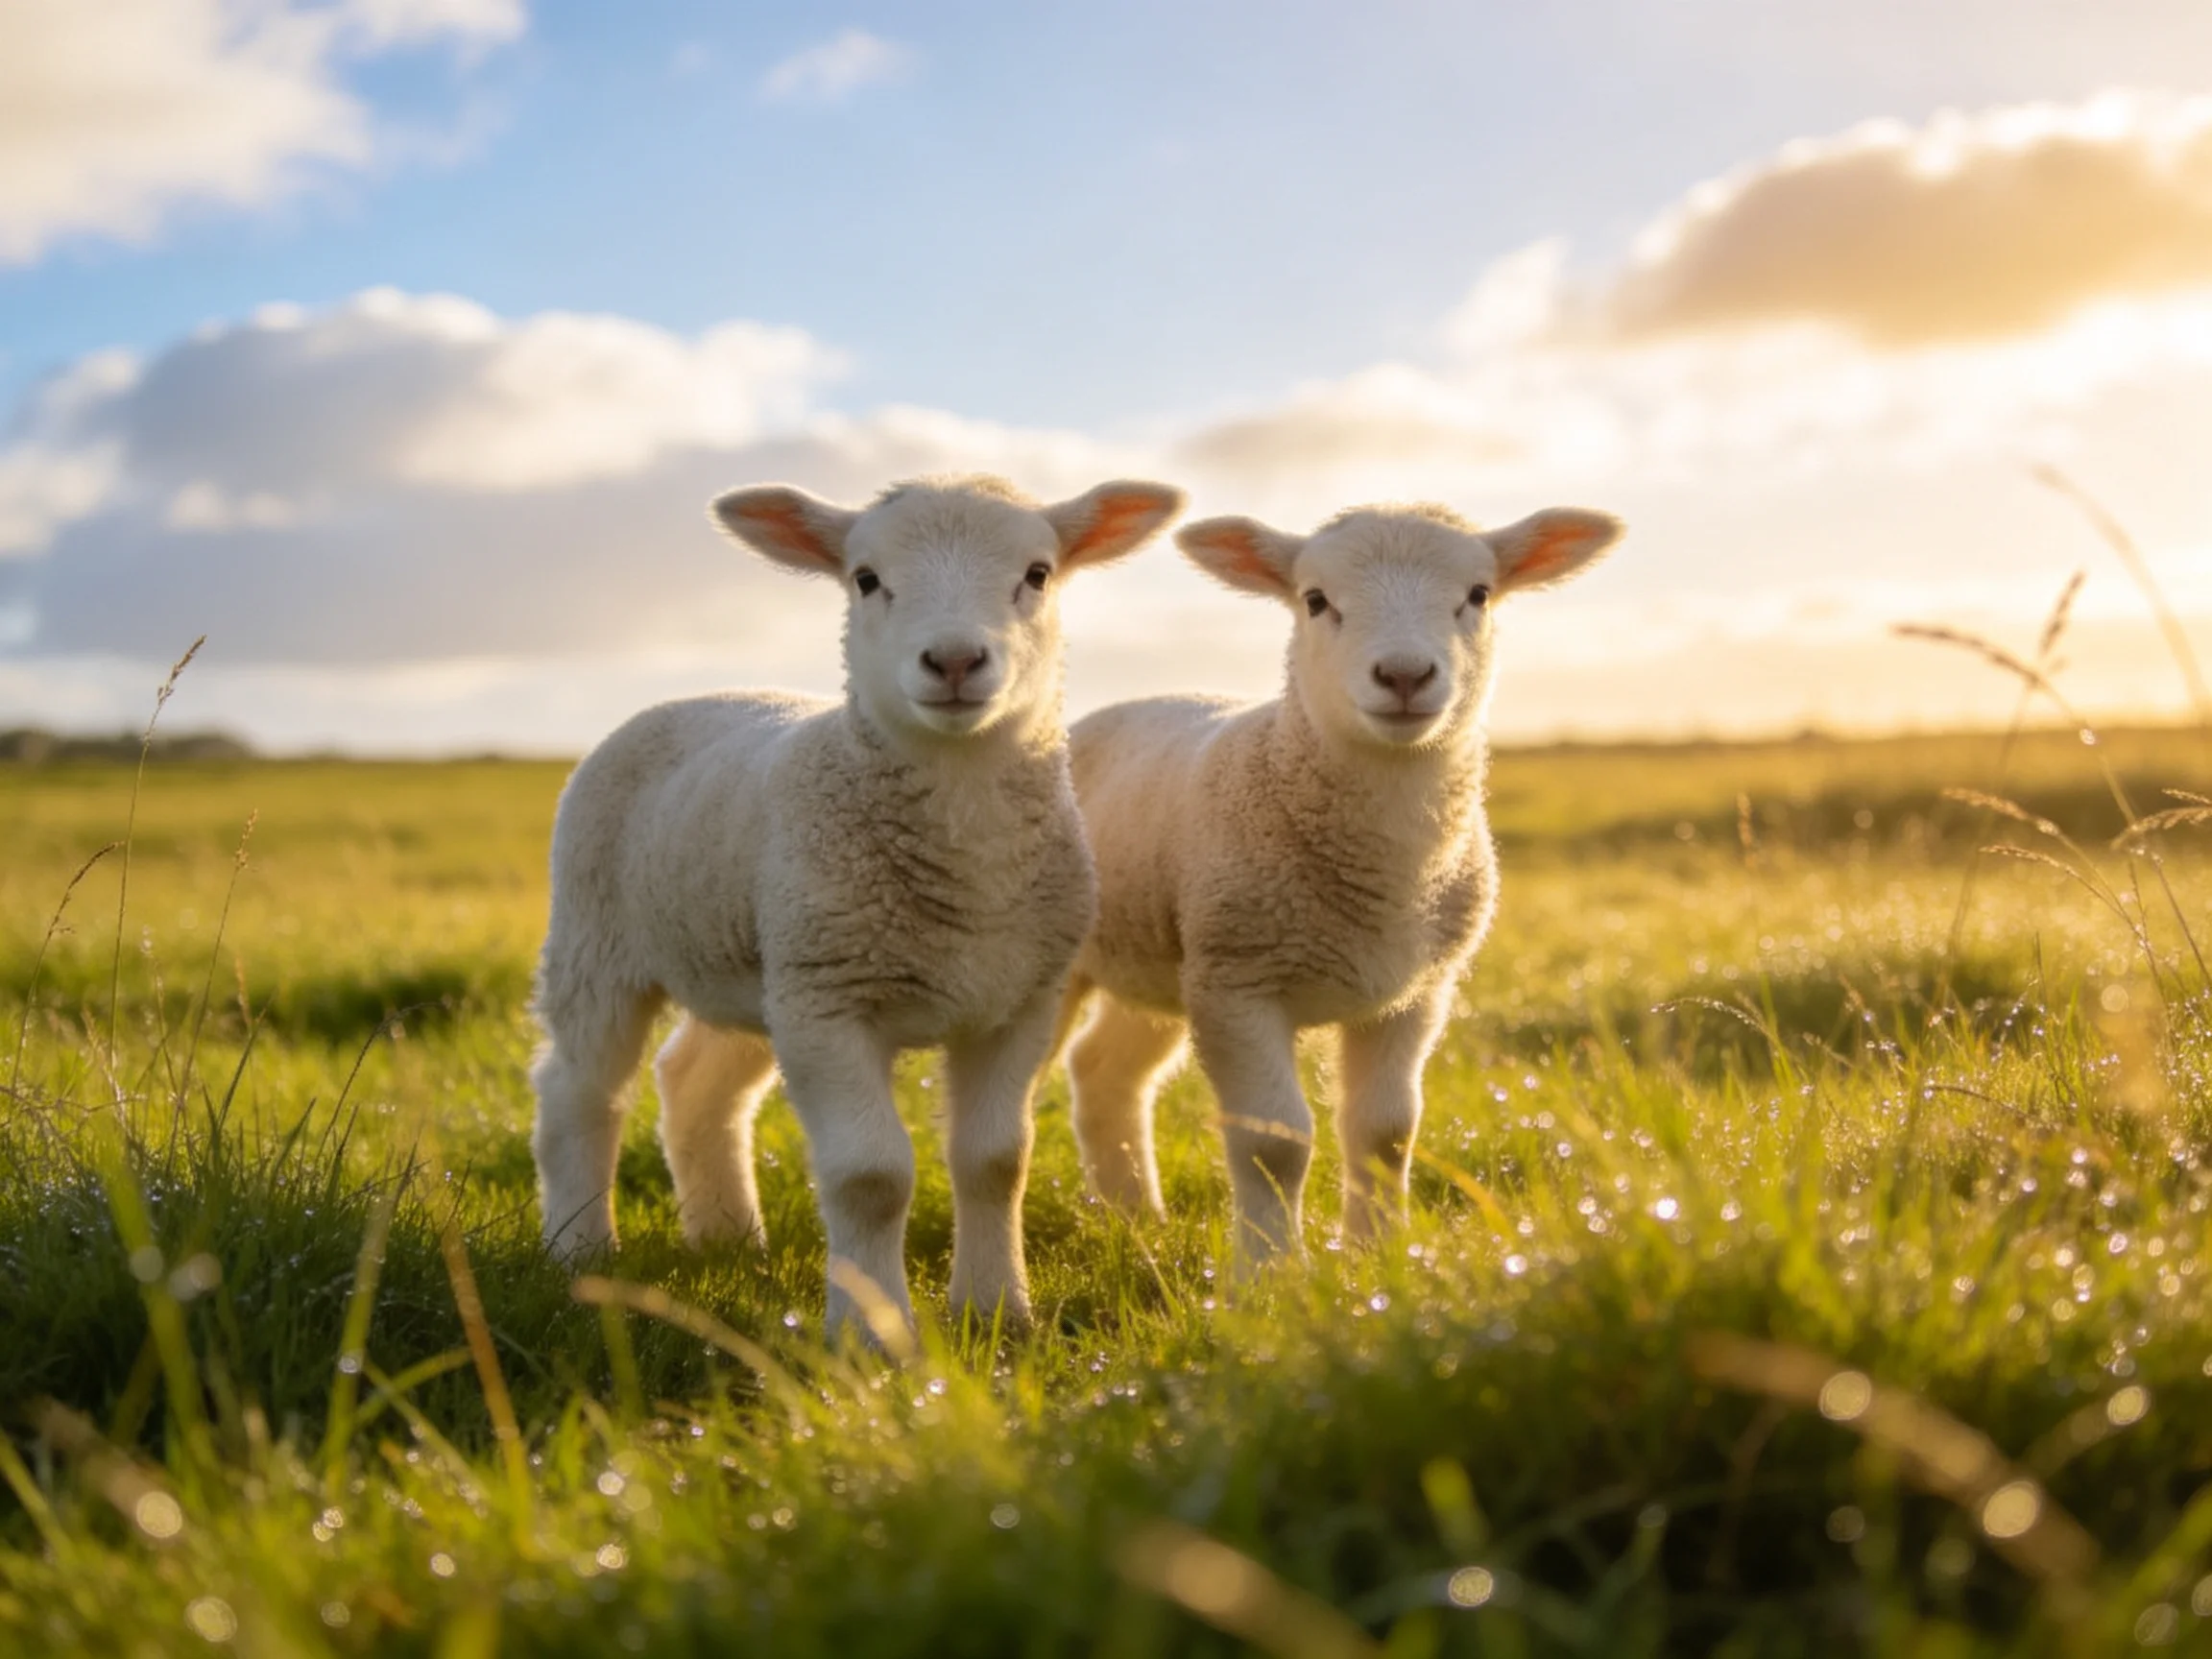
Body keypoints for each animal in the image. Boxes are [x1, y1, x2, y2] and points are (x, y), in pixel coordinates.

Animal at [531, 473, 1185, 1343]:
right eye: (866, 579)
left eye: (1038, 574)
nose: (953, 659)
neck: (966, 868)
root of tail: (694, 694)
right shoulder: (833, 1006)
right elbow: (870, 1176)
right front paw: (870, 1334)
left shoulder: (1015, 1003)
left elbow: (994, 1162)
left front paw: (995, 1312)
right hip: (599, 939)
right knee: (579, 1092)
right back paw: (579, 1251)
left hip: (762, 963)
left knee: (696, 1080)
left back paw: (728, 1239)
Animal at [1058, 500, 1622, 1265]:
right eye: (1316, 600)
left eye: (1478, 595)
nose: (1405, 675)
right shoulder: (1237, 985)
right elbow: (1273, 1143)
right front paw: (1269, 1273)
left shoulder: (1414, 992)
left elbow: (1385, 1132)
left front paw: (1380, 1256)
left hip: (1157, 962)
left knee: (1105, 1071)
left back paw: (1134, 1219)